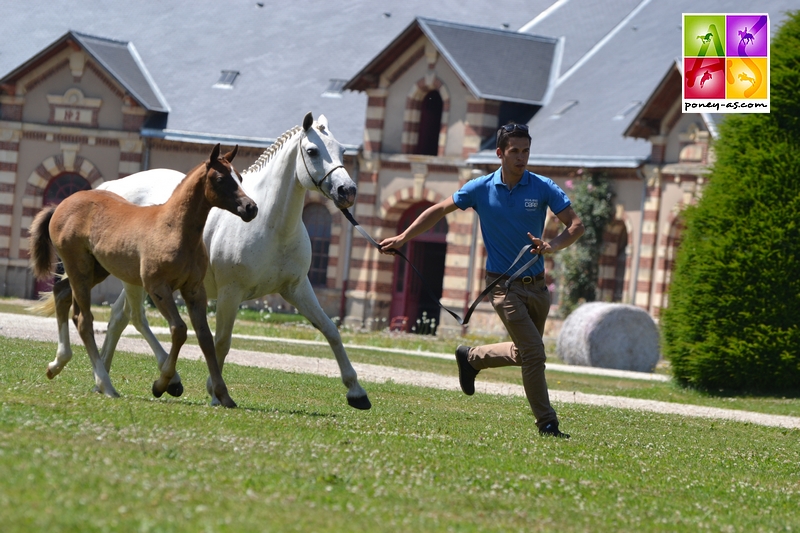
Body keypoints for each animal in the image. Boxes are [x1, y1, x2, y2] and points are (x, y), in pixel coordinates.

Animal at [30, 143, 256, 406]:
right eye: (220, 179)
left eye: (239, 177)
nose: (251, 207)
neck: (174, 229)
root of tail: (62, 204)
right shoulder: (157, 286)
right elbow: (179, 329)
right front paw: (162, 383)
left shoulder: (193, 289)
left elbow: (205, 337)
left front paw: (223, 394)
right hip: (79, 267)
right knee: (84, 319)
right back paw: (105, 384)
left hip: (97, 269)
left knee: (61, 293)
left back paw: (56, 364)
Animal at [95, 112, 370, 410]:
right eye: (312, 151)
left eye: (342, 151)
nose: (347, 190)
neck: (271, 225)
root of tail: (112, 187)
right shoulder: (231, 293)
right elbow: (222, 342)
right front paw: (215, 393)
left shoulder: (297, 289)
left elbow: (330, 330)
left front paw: (357, 392)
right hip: (140, 283)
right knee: (135, 317)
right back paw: (166, 380)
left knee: (119, 318)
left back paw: (103, 380)